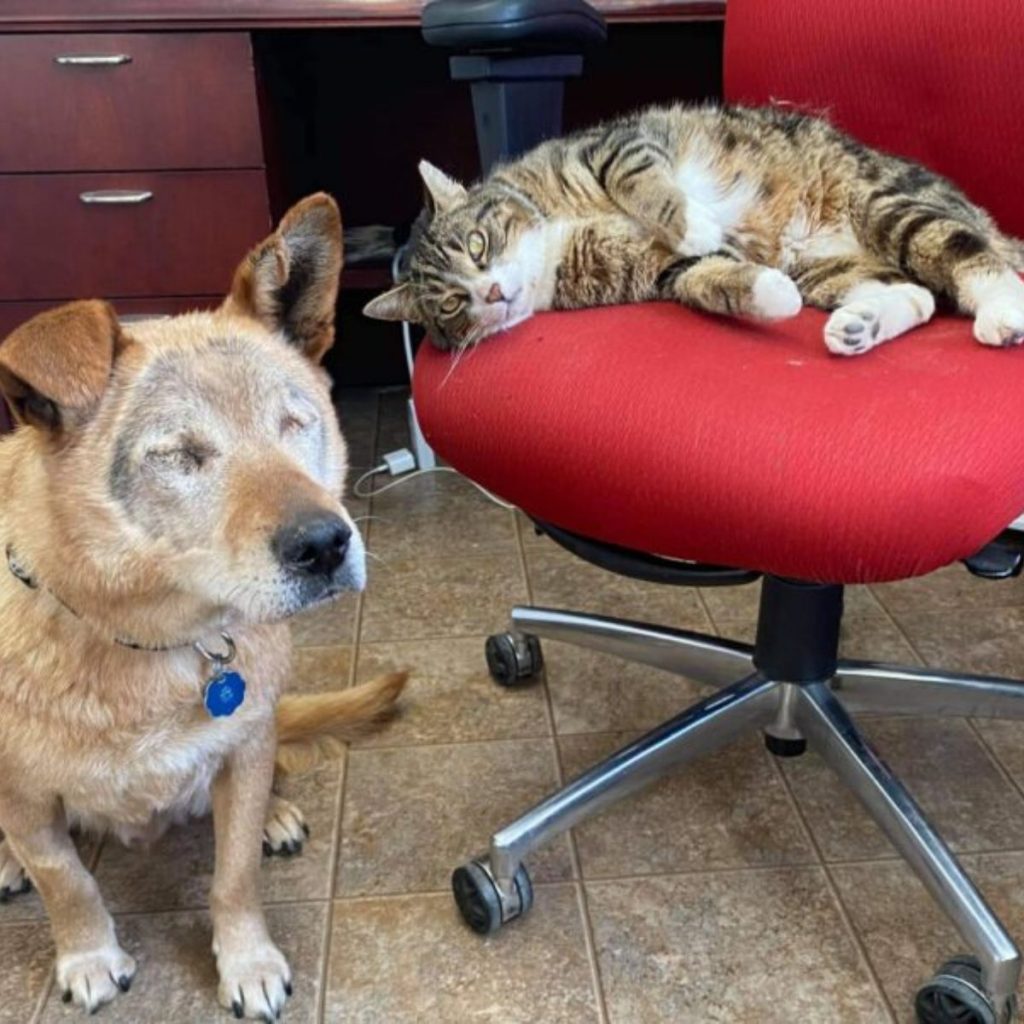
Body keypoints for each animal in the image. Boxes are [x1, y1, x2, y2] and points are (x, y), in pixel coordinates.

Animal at [0, 195, 403, 1019]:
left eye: (295, 422)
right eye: (180, 455)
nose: (326, 544)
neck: (141, 642)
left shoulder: (242, 751)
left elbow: (234, 873)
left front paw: (246, 961)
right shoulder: (22, 797)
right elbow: (67, 881)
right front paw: (89, 955)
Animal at [364, 100, 1019, 356]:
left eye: (478, 244)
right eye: (452, 305)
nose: (493, 292)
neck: (553, 233)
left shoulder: (612, 145)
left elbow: (640, 177)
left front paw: (695, 220)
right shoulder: (642, 269)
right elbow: (705, 278)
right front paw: (769, 290)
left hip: (885, 202)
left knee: (974, 257)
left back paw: (1001, 313)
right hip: (829, 266)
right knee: (918, 294)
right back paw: (860, 324)